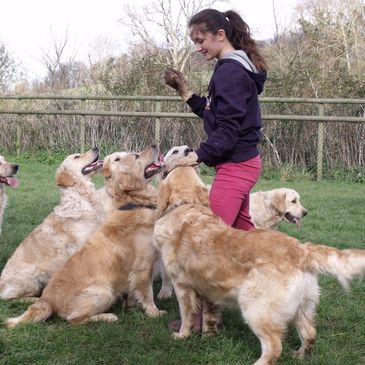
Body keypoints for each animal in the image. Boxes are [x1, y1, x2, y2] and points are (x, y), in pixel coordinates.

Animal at [151, 154, 364, 364]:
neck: (186, 206)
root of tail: (301, 250)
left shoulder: (182, 285)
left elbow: (186, 314)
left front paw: (182, 335)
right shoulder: (208, 289)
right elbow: (209, 314)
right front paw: (209, 332)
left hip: (255, 307)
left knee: (274, 347)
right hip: (304, 306)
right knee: (310, 333)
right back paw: (300, 354)